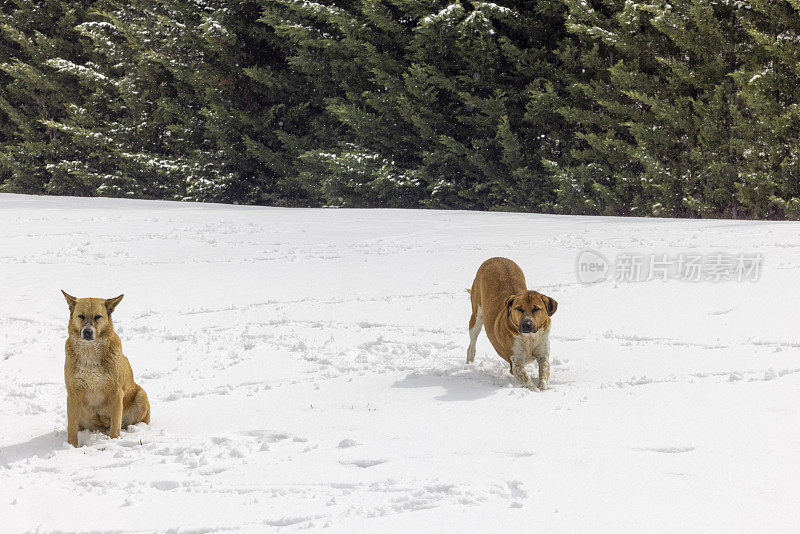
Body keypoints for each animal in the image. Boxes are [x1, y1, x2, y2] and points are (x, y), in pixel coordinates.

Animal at [61, 294, 150, 448]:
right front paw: (71, 447)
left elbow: (115, 425)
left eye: (98, 316)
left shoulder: (115, 392)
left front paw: (114, 442)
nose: (87, 332)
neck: (90, 354)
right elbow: (71, 427)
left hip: (141, 396)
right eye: (81, 316)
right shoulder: (74, 393)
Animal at [468, 258, 556, 392]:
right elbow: (525, 378)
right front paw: (534, 391)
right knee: (472, 343)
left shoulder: (543, 353)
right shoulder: (516, 360)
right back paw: (469, 362)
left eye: (536, 309)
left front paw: (542, 388)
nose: (527, 324)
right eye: (518, 308)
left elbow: (544, 371)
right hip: (476, 316)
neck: (530, 338)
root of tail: (495, 258)